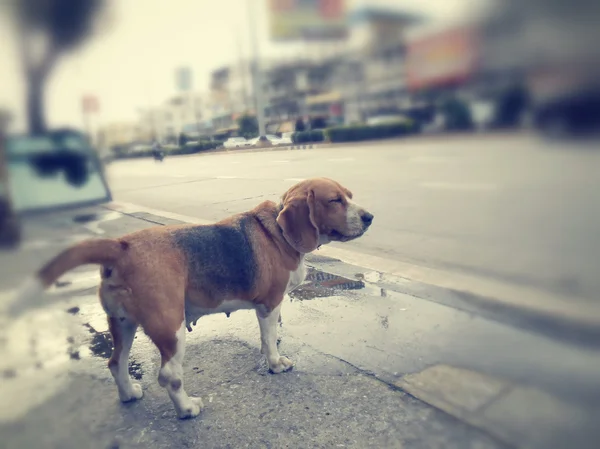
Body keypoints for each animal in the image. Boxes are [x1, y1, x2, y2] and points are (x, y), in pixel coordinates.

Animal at [14, 177, 372, 418]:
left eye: (349, 196)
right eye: (335, 200)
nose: (369, 217)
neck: (280, 233)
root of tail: (121, 245)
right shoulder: (269, 306)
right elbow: (269, 341)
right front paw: (275, 364)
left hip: (123, 324)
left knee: (116, 363)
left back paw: (129, 394)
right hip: (171, 328)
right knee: (169, 376)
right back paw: (187, 409)